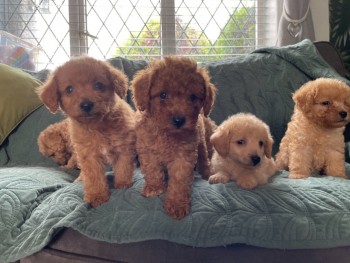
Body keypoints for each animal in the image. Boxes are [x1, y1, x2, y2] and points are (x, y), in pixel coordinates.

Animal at [38, 56, 137, 208]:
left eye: (98, 85)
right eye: (69, 89)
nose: (86, 105)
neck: (97, 125)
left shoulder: (124, 147)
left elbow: (123, 168)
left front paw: (123, 184)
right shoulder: (88, 155)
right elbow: (94, 177)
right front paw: (97, 196)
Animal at [131, 56, 217, 221]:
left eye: (193, 97)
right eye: (163, 95)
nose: (179, 120)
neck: (167, 133)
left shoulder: (183, 156)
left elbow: (179, 180)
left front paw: (176, 204)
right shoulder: (147, 150)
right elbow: (152, 170)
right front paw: (154, 188)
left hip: (202, 143)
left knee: (204, 159)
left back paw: (208, 173)